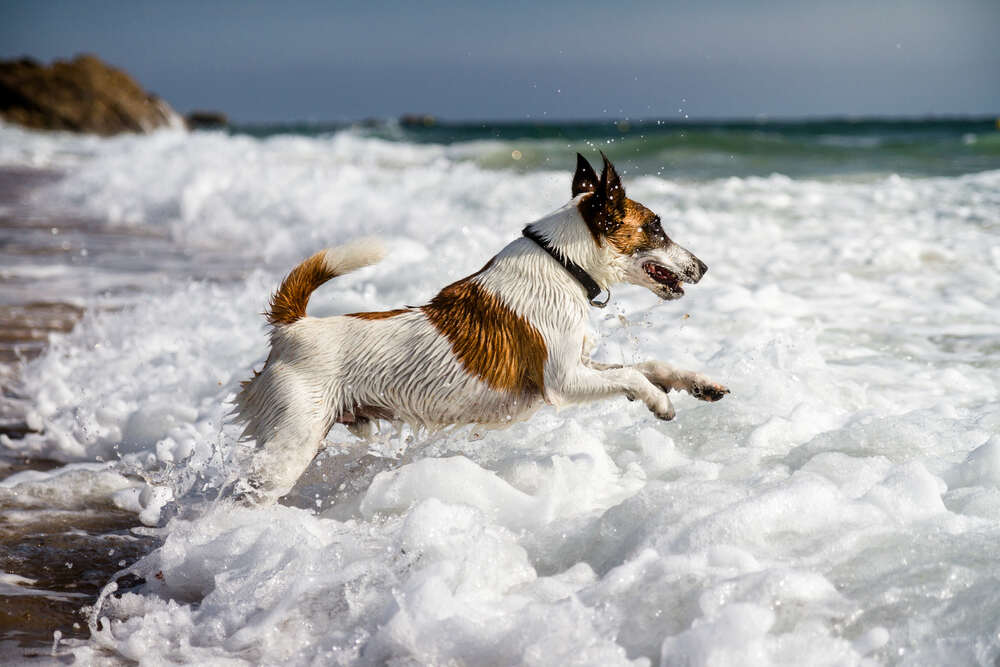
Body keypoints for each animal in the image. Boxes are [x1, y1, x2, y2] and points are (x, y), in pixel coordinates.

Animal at [233, 153, 728, 500]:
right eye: (656, 227)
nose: (704, 267)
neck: (562, 263)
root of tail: (292, 327)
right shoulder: (562, 382)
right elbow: (632, 375)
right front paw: (658, 402)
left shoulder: (579, 364)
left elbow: (647, 366)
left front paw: (696, 383)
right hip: (291, 442)